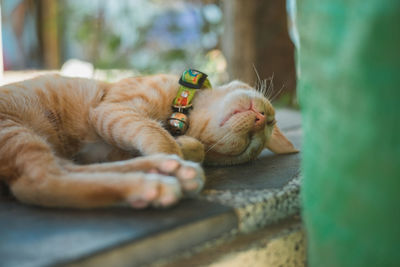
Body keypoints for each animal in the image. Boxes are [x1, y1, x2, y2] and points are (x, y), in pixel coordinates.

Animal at [0, 73, 296, 209]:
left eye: (249, 143)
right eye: (268, 119)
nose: (260, 119)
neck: (180, 111)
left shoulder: (107, 136)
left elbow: (190, 146)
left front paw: (184, 149)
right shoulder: (113, 110)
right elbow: (158, 135)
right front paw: (178, 148)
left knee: (47, 178)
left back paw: (160, 175)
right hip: (15, 130)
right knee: (38, 181)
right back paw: (159, 176)